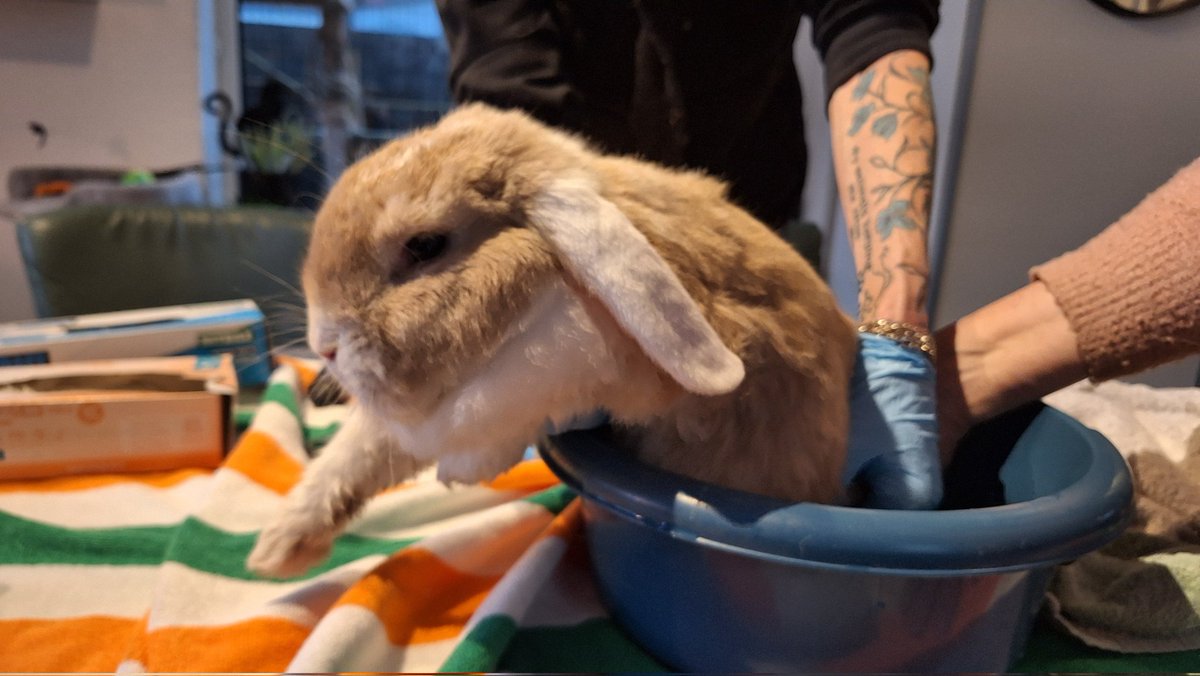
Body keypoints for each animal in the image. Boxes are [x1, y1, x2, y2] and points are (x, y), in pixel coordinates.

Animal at [248, 103, 859, 578]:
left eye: (425, 245)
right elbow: (362, 449)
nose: (323, 345)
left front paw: (460, 471)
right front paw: (278, 550)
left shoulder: (574, 366)